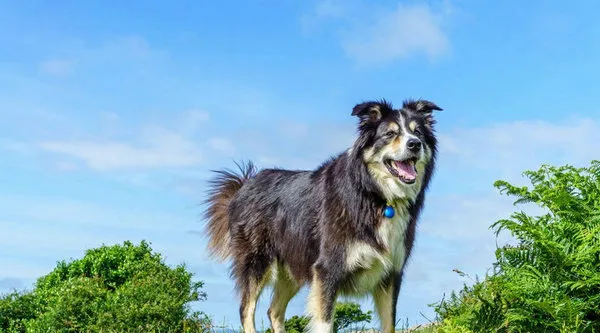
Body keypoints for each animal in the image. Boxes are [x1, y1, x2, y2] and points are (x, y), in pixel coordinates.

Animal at [204, 97, 442, 330]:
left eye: (418, 133)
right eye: (390, 134)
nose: (415, 144)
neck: (374, 194)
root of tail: (244, 185)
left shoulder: (391, 274)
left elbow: (389, 323)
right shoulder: (328, 269)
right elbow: (325, 321)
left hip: (292, 267)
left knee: (274, 311)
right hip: (257, 261)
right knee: (246, 309)